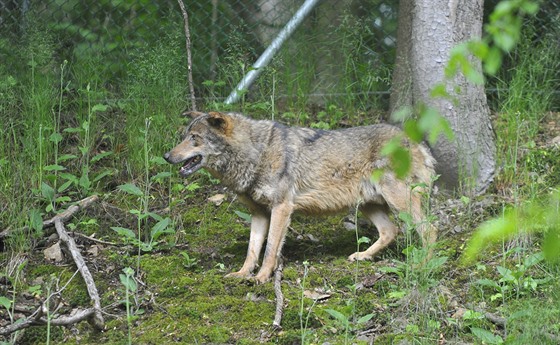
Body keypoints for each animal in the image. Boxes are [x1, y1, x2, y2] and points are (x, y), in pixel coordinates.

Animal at [165, 110, 438, 282]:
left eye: (194, 138)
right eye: (184, 137)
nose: (167, 156)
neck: (256, 153)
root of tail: (416, 141)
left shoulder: (282, 208)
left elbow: (270, 251)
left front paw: (261, 278)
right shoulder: (259, 213)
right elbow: (252, 251)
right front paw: (242, 275)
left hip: (398, 201)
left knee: (430, 230)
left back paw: (423, 266)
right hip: (368, 205)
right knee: (390, 231)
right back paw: (362, 256)